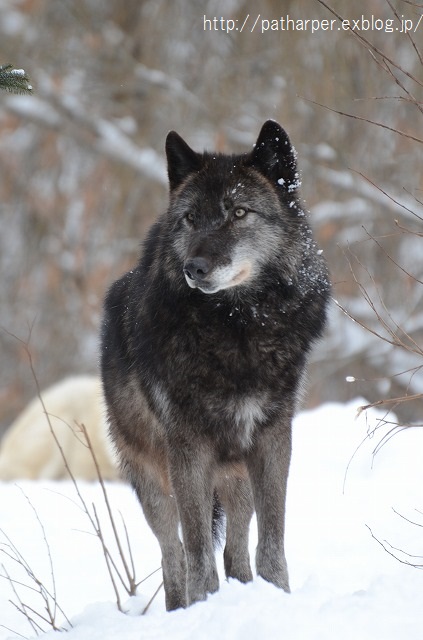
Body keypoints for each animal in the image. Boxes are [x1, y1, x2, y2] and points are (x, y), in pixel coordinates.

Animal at [102, 120, 332, 608]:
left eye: (239, 212)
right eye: (191, 218)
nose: (195, 267)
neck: (237, 329)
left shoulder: (272, 438)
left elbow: (271, 542)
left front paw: (279, 596)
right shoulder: (187, 449)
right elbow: (197, 557)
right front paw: (203, 607)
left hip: (235, 477)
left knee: (235, 550)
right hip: (153, 480)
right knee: (174, 555)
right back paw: (179, 609)